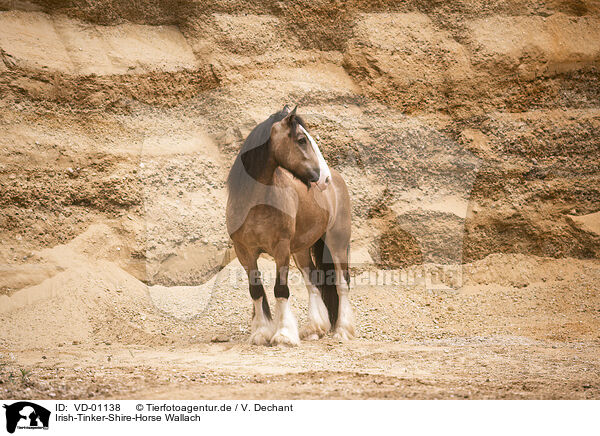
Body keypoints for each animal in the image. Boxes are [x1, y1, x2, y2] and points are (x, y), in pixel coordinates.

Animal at [227, 104, 354, 344]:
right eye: (302, 140)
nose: (324, 179)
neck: (256, 202)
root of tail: (338, 178)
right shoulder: (244, 252)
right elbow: (256, 291)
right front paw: (260, 333)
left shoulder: (281, 249)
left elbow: (280, 290)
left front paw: (283, 335)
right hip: (301, 249)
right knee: (313, 281)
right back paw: (314, 328)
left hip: (337, 242)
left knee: (342, 283)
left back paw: (343, 330)